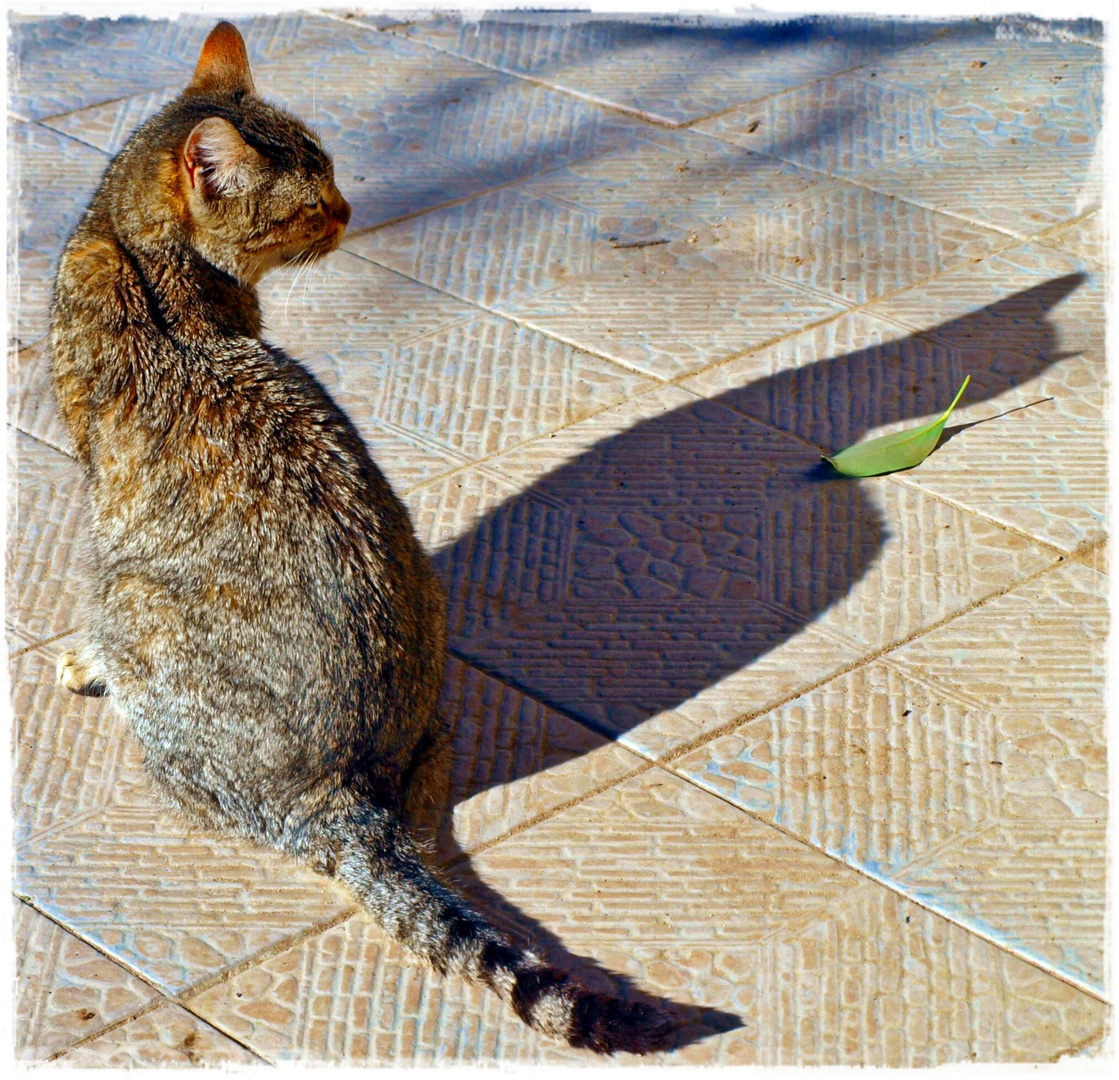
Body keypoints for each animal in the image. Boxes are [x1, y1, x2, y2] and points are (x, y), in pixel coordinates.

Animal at [48, 21, 671, 1056]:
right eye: (311, 200)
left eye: (332, 178)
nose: (349, 209)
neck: (135, 250)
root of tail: (346, 799)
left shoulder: (98, 497)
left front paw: (79, 663)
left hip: (133, 596)